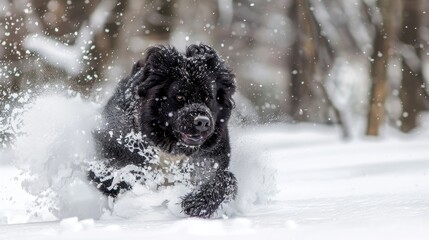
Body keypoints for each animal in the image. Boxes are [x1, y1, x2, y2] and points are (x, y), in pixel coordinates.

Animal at [89, 43, 237, 218]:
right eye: (179, 97)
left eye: (208, 98)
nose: (202, 121)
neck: (171, 150)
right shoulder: (110, 160)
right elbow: (117, 178)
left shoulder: (212, 159)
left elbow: (225, 180)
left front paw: (197, 203)